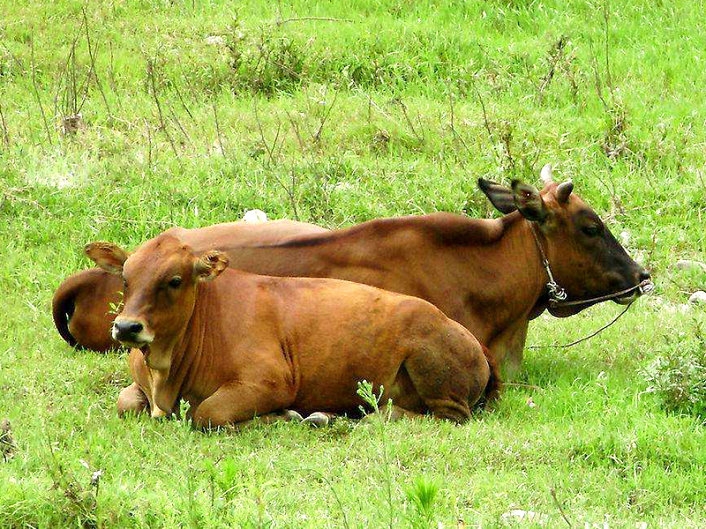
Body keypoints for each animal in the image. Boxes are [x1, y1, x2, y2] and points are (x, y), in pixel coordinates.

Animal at [84, 233, 500, 426]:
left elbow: (208, 414)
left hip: (436, 378)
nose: (127, 327)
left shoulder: (269, 382)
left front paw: (282, 416)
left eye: (174, 280)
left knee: (442, 416)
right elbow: (126, 403)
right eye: (125, 278)